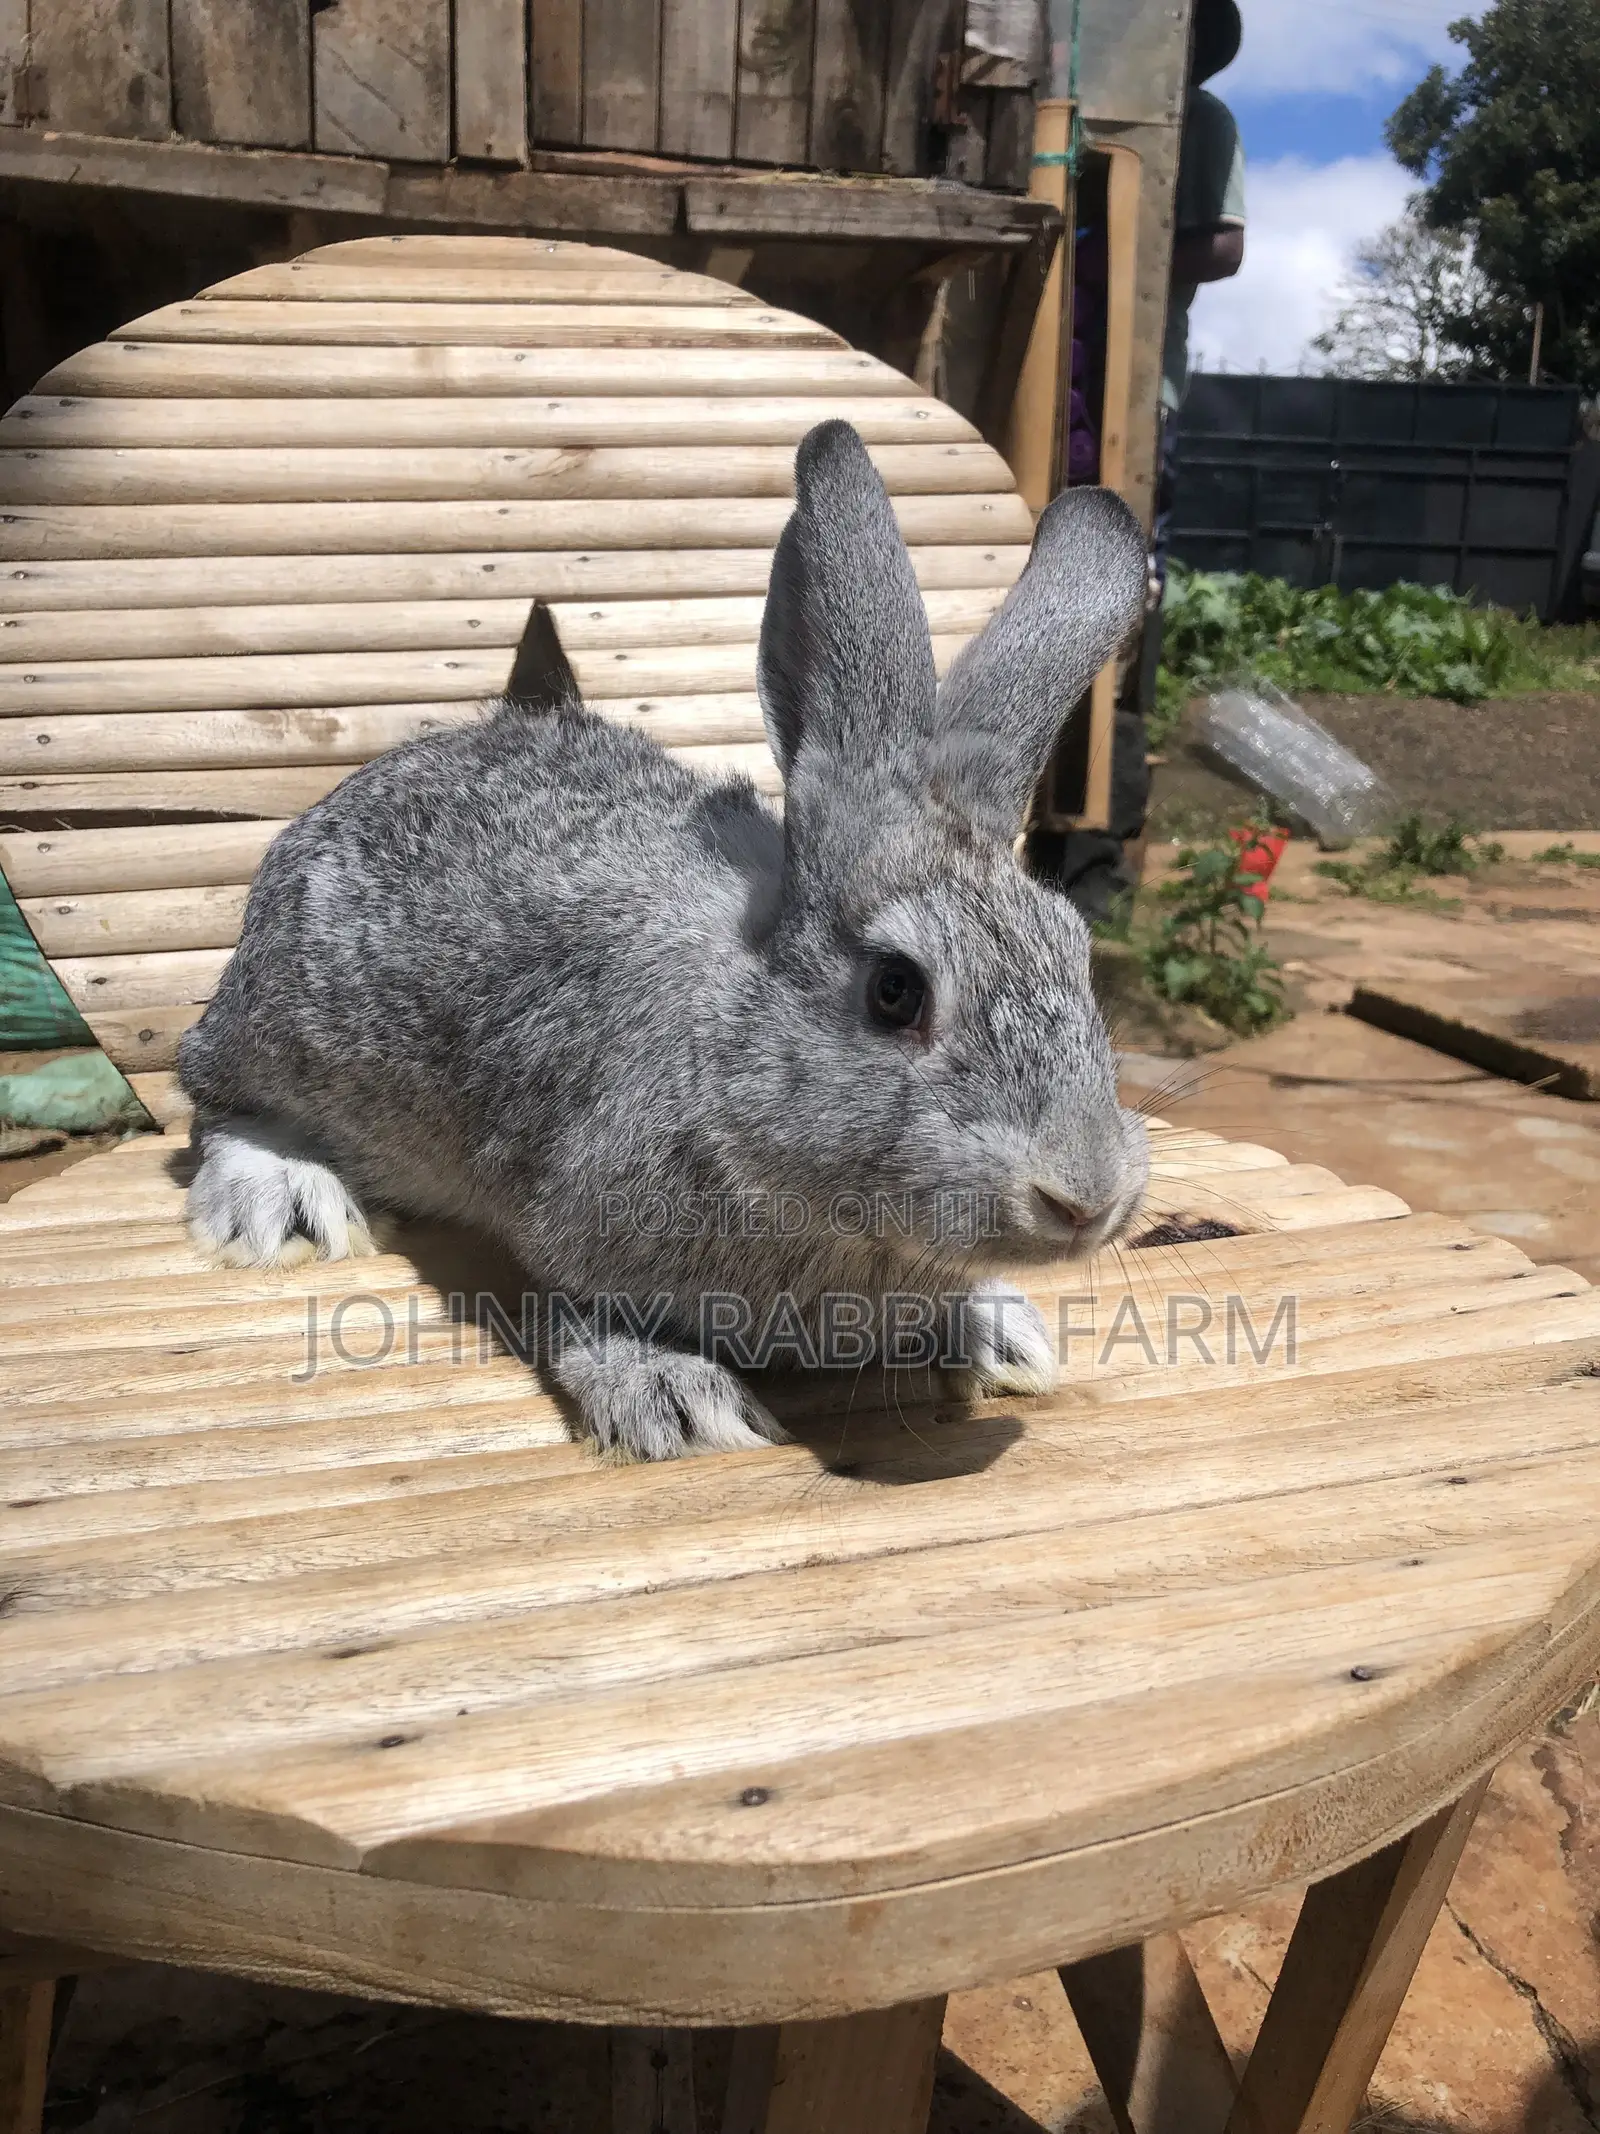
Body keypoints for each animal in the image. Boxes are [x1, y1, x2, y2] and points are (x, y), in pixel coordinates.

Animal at [178, 420, 1151, 1460]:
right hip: (290, 1029)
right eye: (896, 990)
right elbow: (578, 1311)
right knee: (214, 1104)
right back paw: (281, 1204)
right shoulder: (570, 1217)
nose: (1085, 1195)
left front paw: (1003, 1335)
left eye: (1078, 952)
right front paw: (679, 1401)